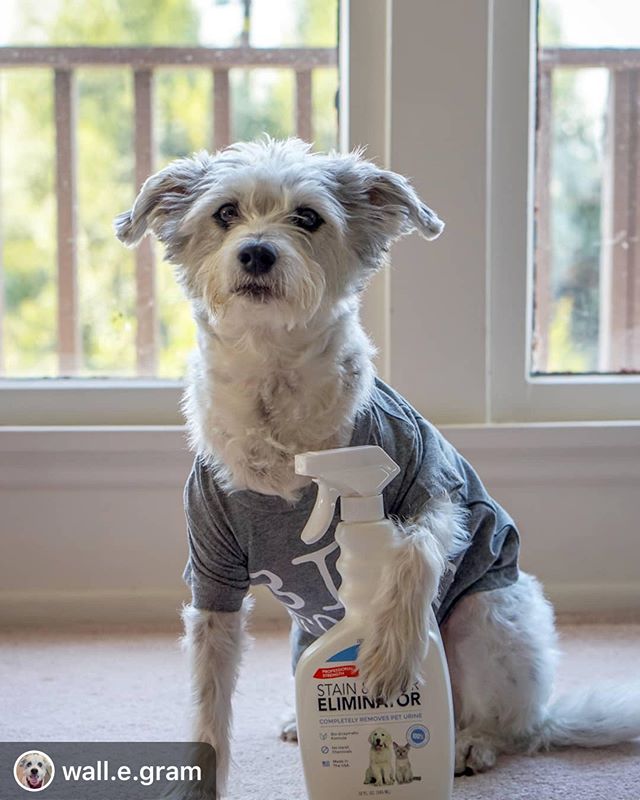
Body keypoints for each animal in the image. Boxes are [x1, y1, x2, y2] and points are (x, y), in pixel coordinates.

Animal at [115, 137, 640, 797]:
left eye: (308, 217)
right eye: (225, 213)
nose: (257, 252)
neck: (274, 394)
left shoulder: (432, 489)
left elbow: (412, 551)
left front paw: (389, 655)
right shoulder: (213, 576)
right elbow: (209, 702)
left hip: (487, 618)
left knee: (510, 726)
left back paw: (471, 742)